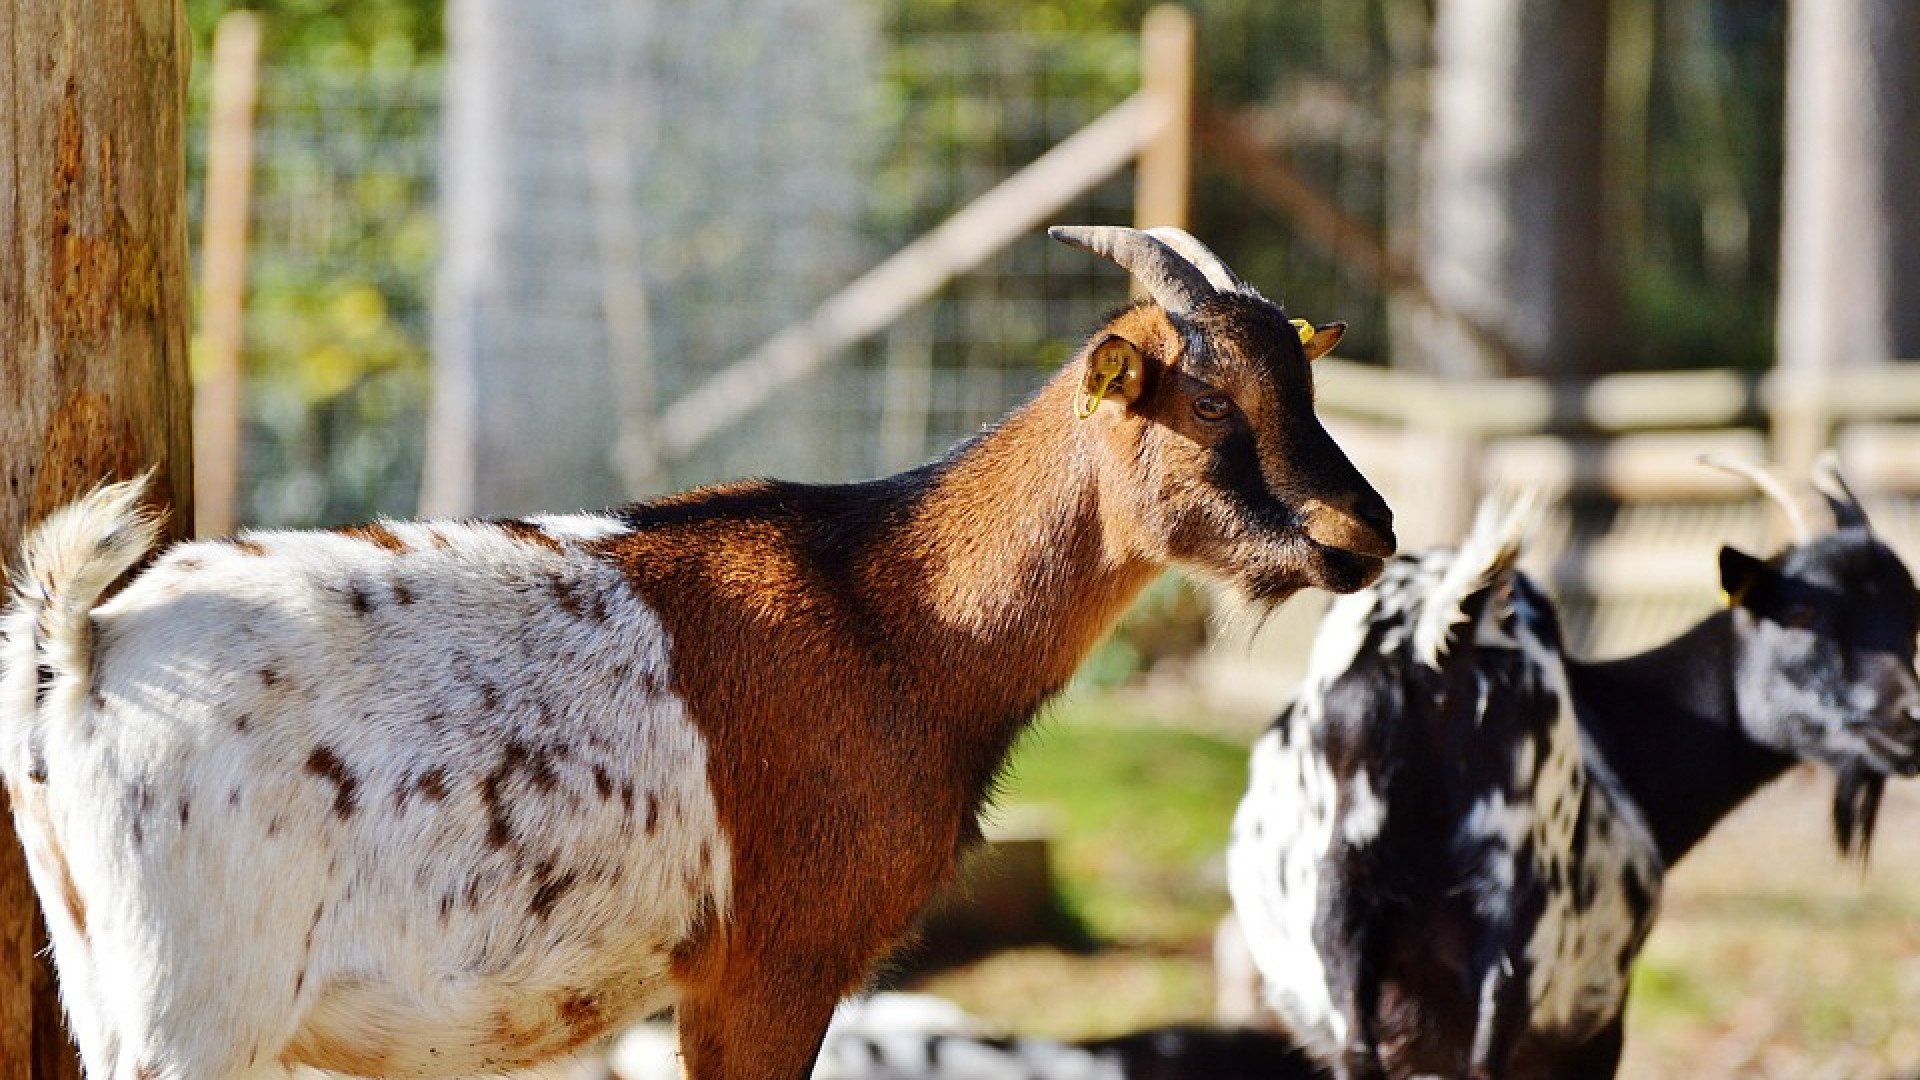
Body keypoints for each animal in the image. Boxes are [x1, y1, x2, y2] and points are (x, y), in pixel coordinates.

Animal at [1228, 453, 1920, 1076]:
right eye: (1802, 612)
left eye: (1910, 619)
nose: (1909, 722)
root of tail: (1434, 640)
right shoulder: (1595, 1022)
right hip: (1518, 926)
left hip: (1346, 936)